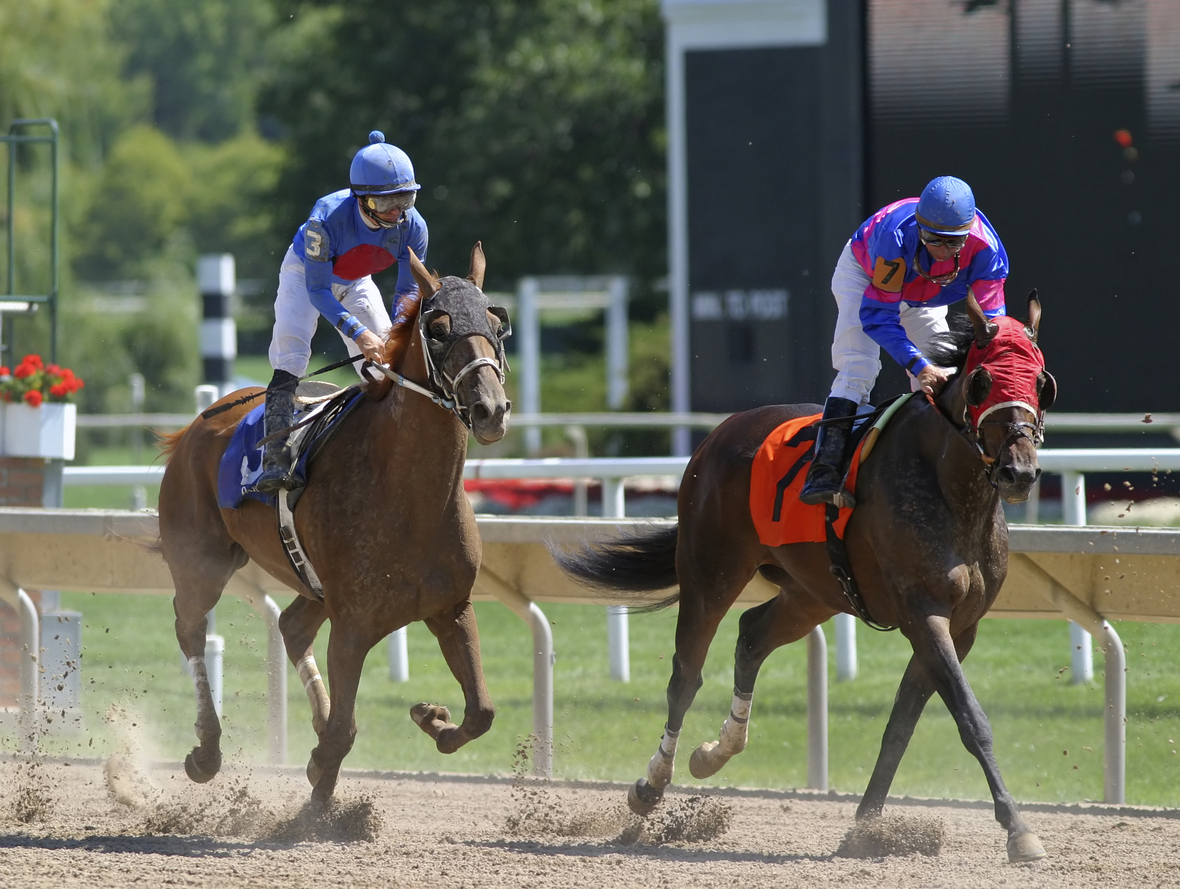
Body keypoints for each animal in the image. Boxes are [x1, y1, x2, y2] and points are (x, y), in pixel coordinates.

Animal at [156, 240, 512, 798]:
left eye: (498, 325)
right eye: (437, 328)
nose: (490, 409)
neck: (410, 494)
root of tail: (193, 427)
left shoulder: (451, 608)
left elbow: (481, 713)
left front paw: (431, 716)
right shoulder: (354, 624)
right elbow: (345, 733)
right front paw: (319, 790)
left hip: (312, 582)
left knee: (291, 626)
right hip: (201, 563)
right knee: (190, 627)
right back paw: (207, 750)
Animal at [556, 295, 1057, 864]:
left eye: (1041, 381)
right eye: (981, 380)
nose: (1020, 472)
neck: (952, 490)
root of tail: (719, 434)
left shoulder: (961, 626)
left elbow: (901, 726)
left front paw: (864, 827)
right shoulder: (924, 611)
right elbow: (971, 720)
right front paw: (1018, 828)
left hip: (813, 592)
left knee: (752, 634)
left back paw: (716, 750)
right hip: (711, 569)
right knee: (685, 674)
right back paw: (651, 784)